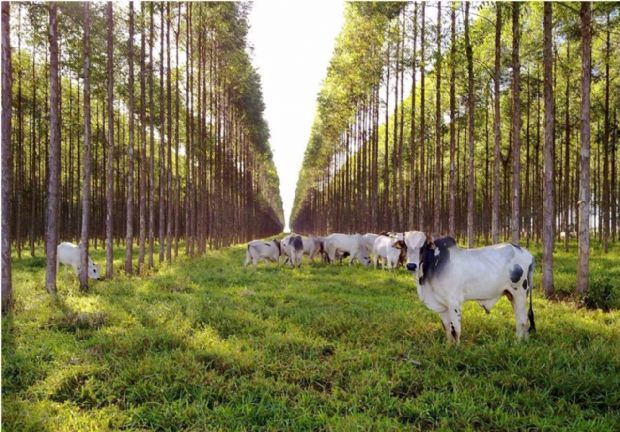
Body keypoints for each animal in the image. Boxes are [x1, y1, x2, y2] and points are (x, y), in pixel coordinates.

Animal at [404, 231, 536, 342]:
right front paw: (448, 346)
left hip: (520, 293)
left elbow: (456, 330)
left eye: (422, 247)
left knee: (522, 320)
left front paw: (457, 349)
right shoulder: (442, 305)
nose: (411, 265)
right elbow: (447, 329)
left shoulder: (454, 302)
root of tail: (527, 253)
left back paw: (518, 343)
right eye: (405, 246)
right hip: (512, 295)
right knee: (523, 320)